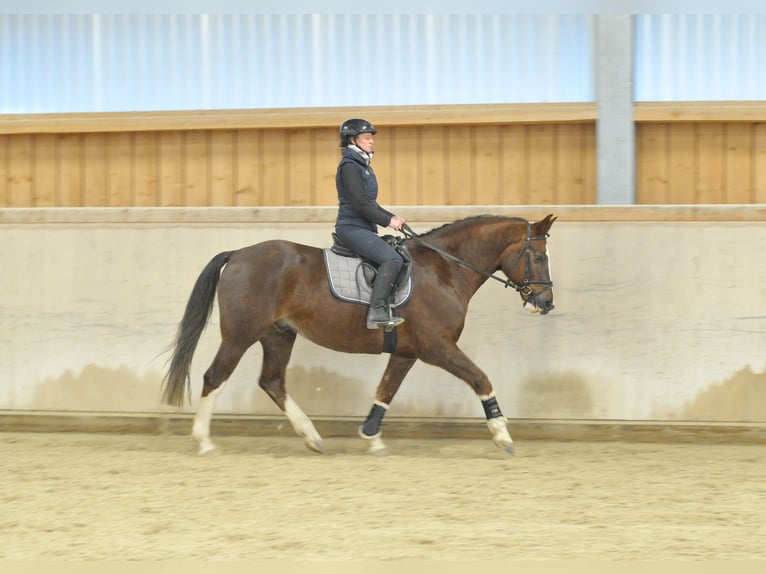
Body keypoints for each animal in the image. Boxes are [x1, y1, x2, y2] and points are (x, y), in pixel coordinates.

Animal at [161, 214, 556, 456]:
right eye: (538, 257)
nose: (546, 302)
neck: (444, 269)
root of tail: (238, 254)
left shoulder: (407, 352)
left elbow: (385, 391)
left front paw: (371, 437)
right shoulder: (437, 346)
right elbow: (481, 378)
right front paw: (503, 435)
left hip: (278, 334)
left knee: (272, 381)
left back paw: (312, 437)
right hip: (241, 334)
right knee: (215, 376)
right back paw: (204, 442)